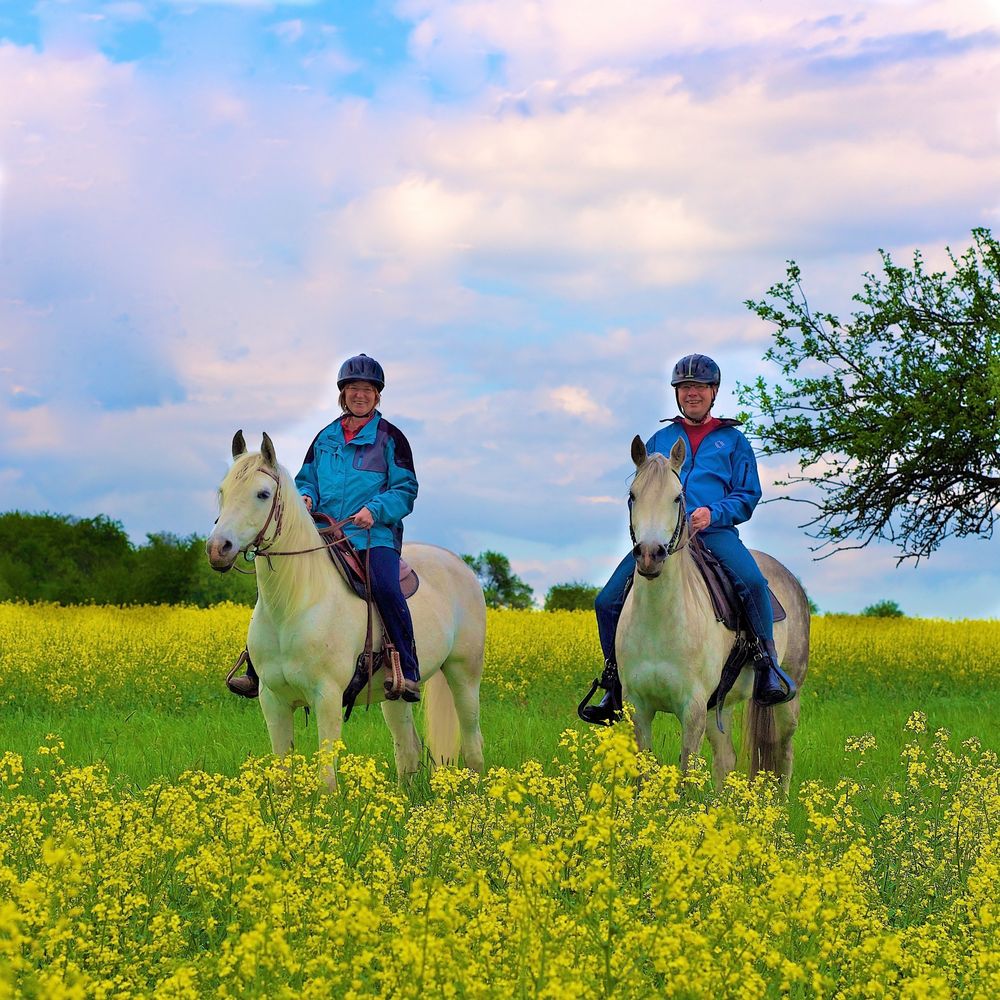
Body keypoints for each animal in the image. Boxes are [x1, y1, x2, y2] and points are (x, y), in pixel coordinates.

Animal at [205, 430, 486, 780]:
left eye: (263, 494)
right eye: (222, 491)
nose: (218, 548)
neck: (294, 604)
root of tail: (458, 564)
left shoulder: (326, 698)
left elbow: (327, 778)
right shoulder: (273, 701)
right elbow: (283, 775)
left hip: (464, 676)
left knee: (473, 747)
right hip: (395, 696)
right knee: (408, 751)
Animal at [620, 434, 808, 792]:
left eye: (677, 497)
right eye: (632, 496)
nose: (650, 555)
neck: (660, 621)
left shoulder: (692, 708)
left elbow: (686, 775)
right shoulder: (640, 707)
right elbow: (644, 774)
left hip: (787, 698)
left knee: (784, 751)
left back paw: (782, 803)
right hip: (719, 706)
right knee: (726, 761)